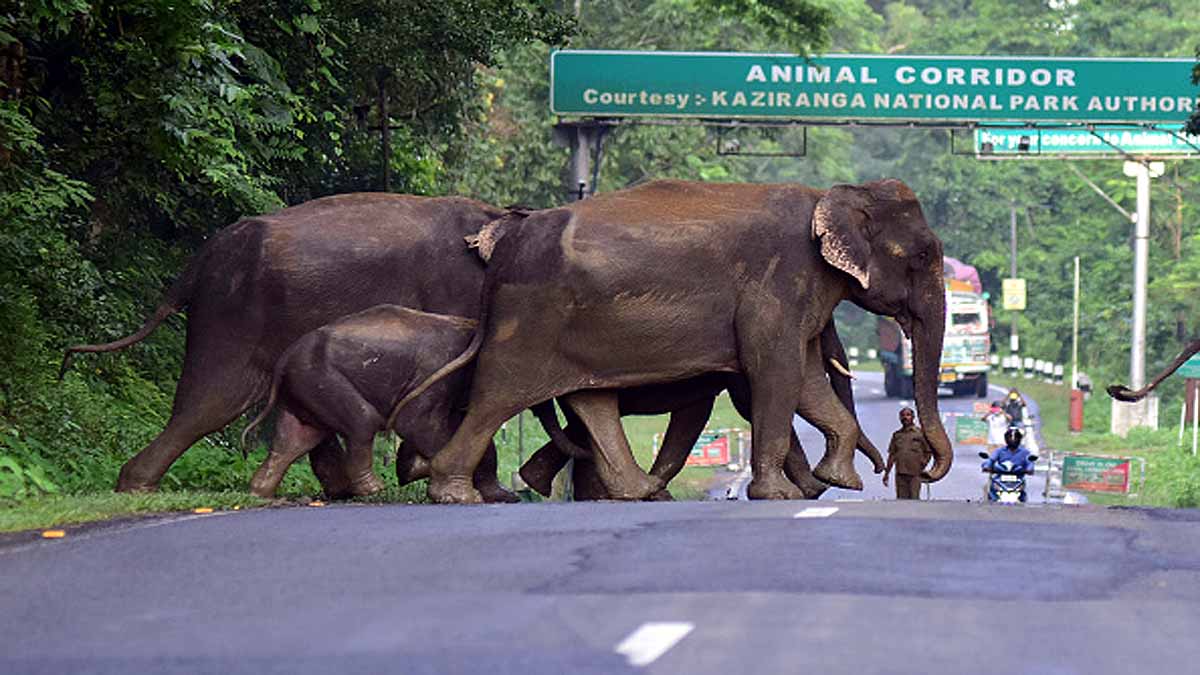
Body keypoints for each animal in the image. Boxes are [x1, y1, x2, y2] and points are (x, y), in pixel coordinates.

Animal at [399, 178, 953, 504]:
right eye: (924, 255)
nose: (900, 470)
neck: (833, 195)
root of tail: (502, 252)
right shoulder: (776, 284)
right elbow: (778, 374)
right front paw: (780, 495)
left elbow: (807, 377)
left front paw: (839, 482)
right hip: (528, 322)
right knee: (496, 397)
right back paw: (456, 494)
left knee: (590, 400)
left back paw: (632, 490)